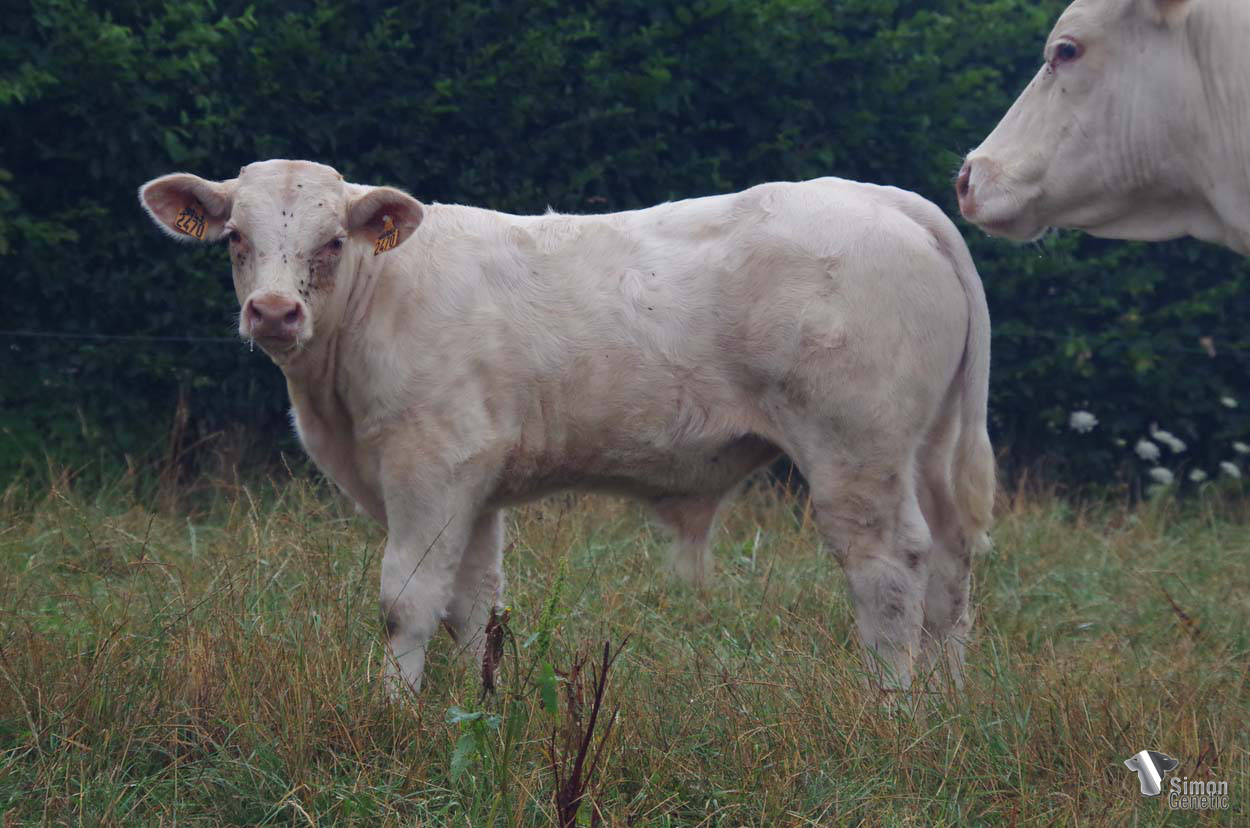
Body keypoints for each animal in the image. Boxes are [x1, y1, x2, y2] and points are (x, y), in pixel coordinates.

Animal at [139, 160, 995, 694]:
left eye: (333, 240)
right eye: (236, 238)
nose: (274, 311)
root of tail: (885, 198)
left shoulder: (429, 468)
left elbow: (407, 600)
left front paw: (390, 710)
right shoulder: (475, 485)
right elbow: (474, 606)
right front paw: (479, 708)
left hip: (856, 452)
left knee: (890, 572)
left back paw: (890, 707)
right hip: (926, 449)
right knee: (951, 570)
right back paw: (947, 705)